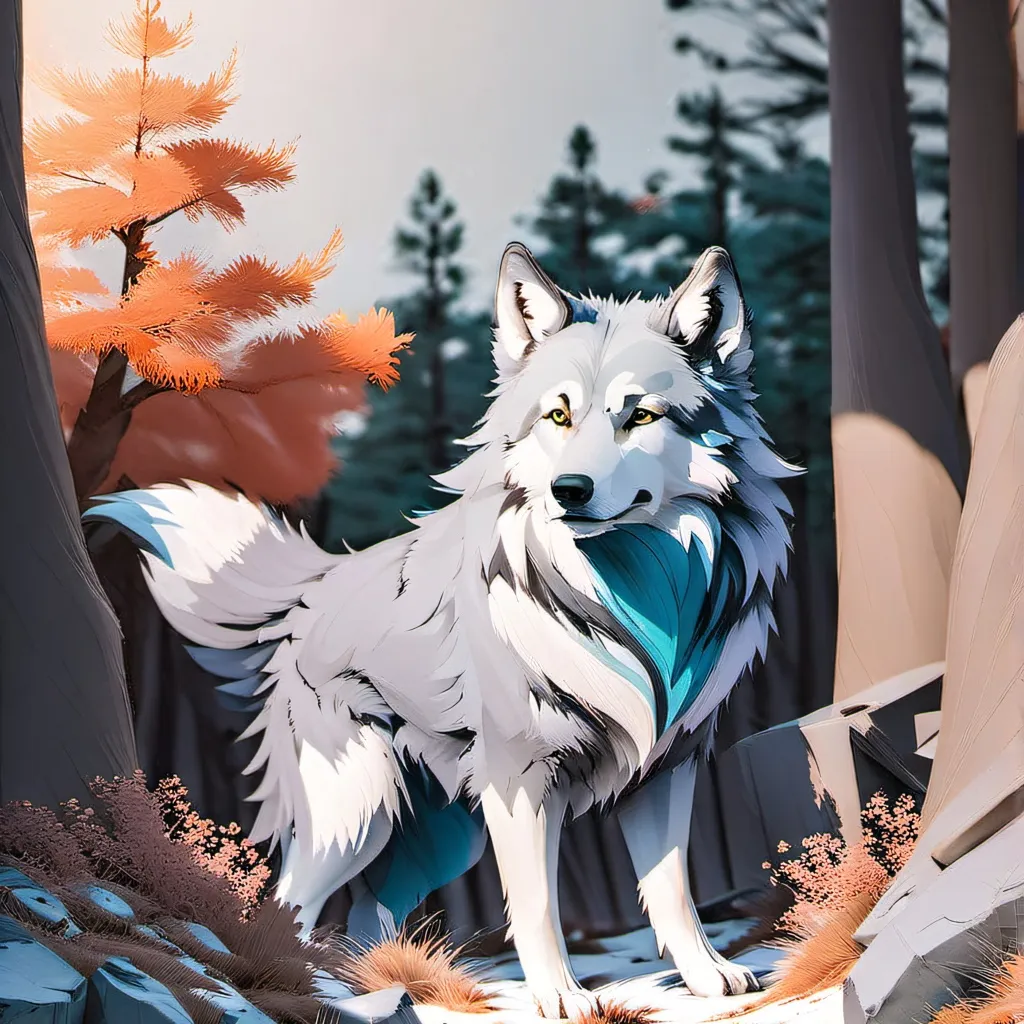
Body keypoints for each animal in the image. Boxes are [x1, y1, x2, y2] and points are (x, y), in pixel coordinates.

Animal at [86, 242, 796, 1019]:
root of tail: (320, 582)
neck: (630, 597)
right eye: (557, 415)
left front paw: (707, 978)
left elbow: (672, 888)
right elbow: (537, 904)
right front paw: (560, 997)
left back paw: (387, 986)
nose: (569, 491)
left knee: (366, 917)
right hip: (358, 815)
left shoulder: (667, 768)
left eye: (640, 415)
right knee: (286, 904)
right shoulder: (523, 782)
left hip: (439, 841)